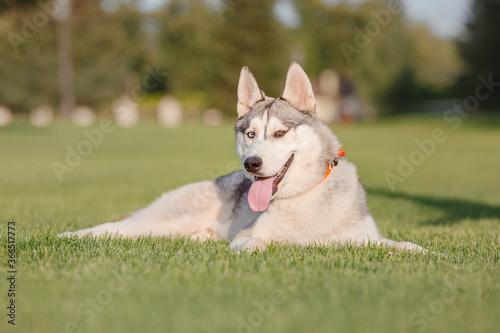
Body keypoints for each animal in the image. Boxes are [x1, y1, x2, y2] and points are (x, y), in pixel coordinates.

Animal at [60, 61, 424, 252]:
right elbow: (255, 242)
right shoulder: (247, 237)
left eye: (279, 133)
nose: (252, 165)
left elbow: (408, 247)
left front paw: (432, 255)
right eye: (250, 135)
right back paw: (70, 235)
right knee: (116, 227)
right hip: (161, 220)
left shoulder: (367, 239)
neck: (303, 197)